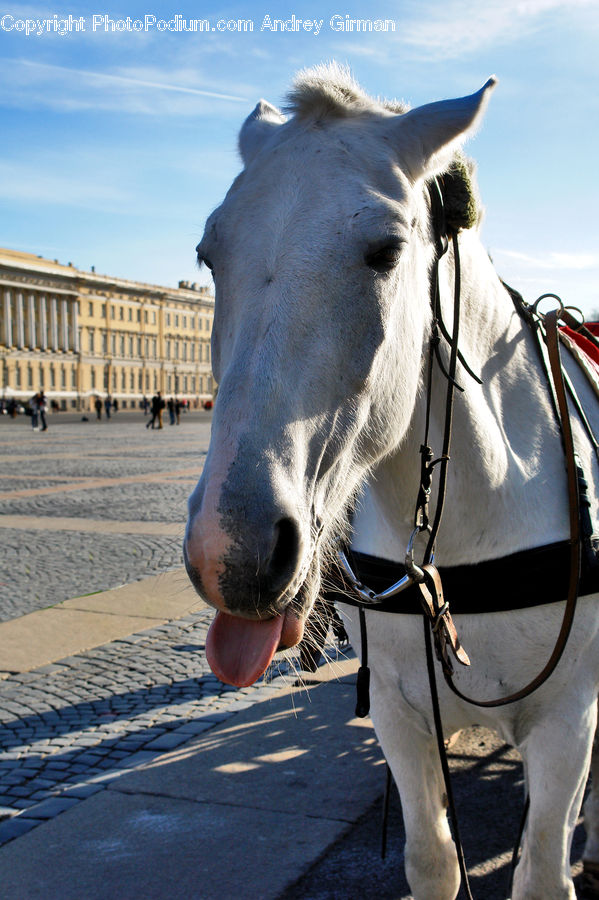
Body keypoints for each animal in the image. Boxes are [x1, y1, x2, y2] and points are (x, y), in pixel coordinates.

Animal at [184, 64, 599, 899]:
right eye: (210, 254)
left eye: (384, 251)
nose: (230, 551)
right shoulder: (401, 719)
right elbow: (431, 859)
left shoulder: (570, 717)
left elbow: (542, 867)